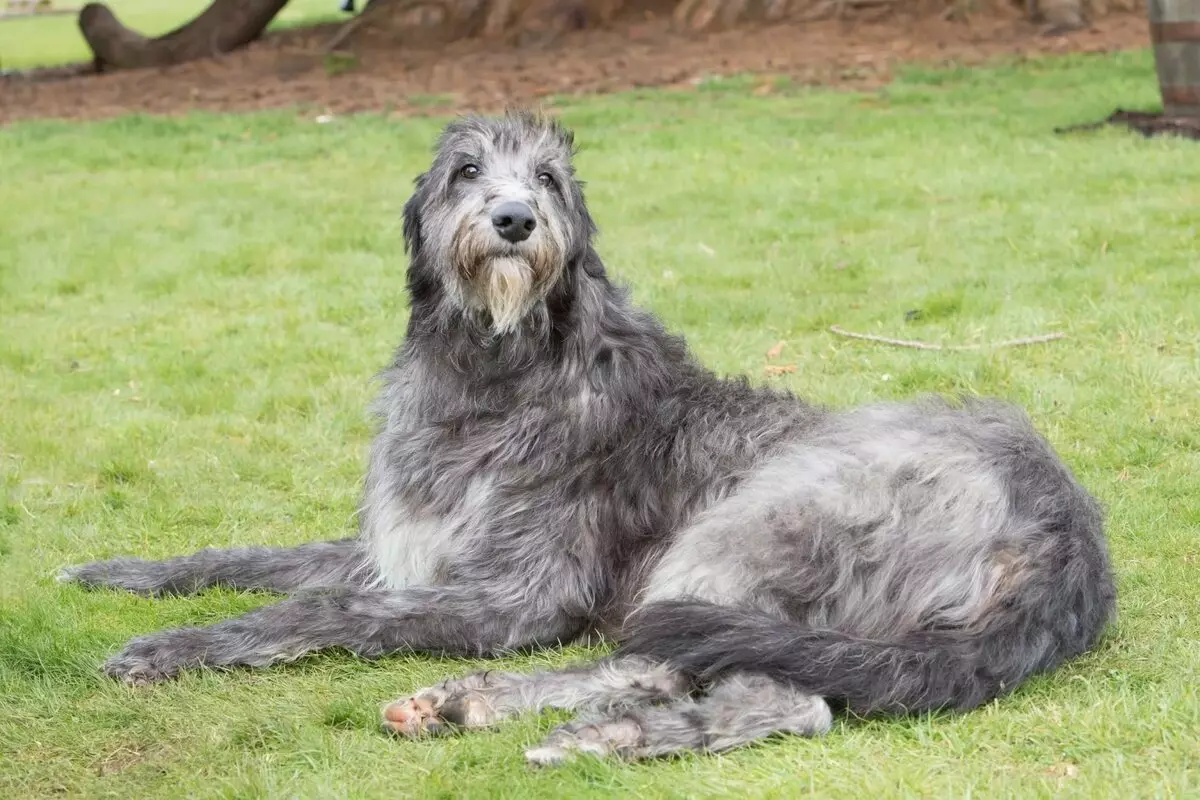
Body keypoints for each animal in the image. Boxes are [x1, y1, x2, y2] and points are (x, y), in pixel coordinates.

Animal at [60, 109, 1113, 767]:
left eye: (550, 180)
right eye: (467, 171)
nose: (514, 220)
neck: (496, 370)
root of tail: (1067, 540)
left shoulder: (515, 596)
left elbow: (319, 610)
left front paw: (171, 648)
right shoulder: (401, 545)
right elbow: (249, 558)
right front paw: (119, 574)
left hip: (764, 519)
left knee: (754, 685)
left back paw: (557, 721)